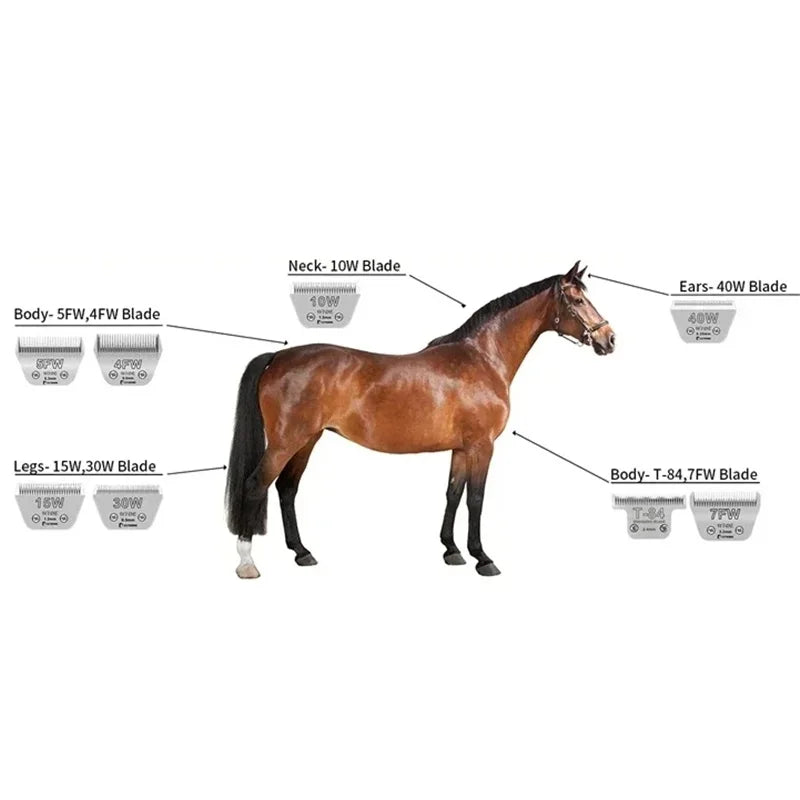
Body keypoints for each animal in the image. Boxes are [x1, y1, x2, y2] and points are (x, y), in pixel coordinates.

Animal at [225, 261, 615, 578]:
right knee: (256, 484)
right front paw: (483, 558)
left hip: (308, 439)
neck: (483, 358)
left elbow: (453, 493)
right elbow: (476, 498)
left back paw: (302, 553)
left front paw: (452, 550)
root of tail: (277, 357)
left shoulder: (461, 448)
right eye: (577, 300)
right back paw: (247, 563)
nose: (609, 339)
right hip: (286, 441)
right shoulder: (482, 446)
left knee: (287, 489)